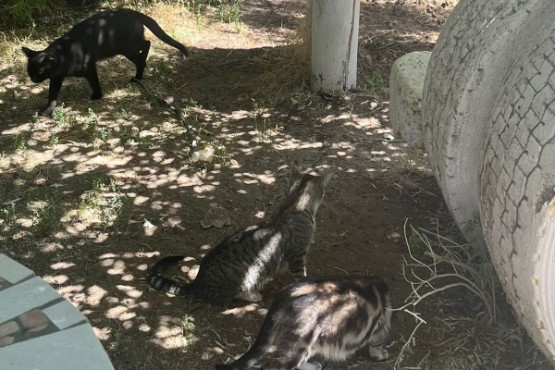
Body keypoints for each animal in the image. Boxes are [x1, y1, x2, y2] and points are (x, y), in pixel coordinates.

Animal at [22, 8, 189, 115]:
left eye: (40, 72)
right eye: (29, 71)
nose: (33, 79)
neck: (64, 54)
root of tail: (132, 12)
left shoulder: (89, 67)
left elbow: (94, 82)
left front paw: (97, 95)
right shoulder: (56, 78)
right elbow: (52, 95)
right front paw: (47, 111)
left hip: (127, 47)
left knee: (147, 43)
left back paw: (142, 63)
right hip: (126, 49)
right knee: (144, 48)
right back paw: (138, 74)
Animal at [149, 163, 334, 304]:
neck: (295, 205)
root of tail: (197, 284)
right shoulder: (297, 256)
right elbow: (301, 277)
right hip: (249, 271)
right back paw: (254, 295)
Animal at [215, 274, 394, 370]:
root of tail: (285, 295)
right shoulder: (381, 326)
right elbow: (377, 345)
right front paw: (381, 355)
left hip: (309, 341)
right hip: (300, 342)